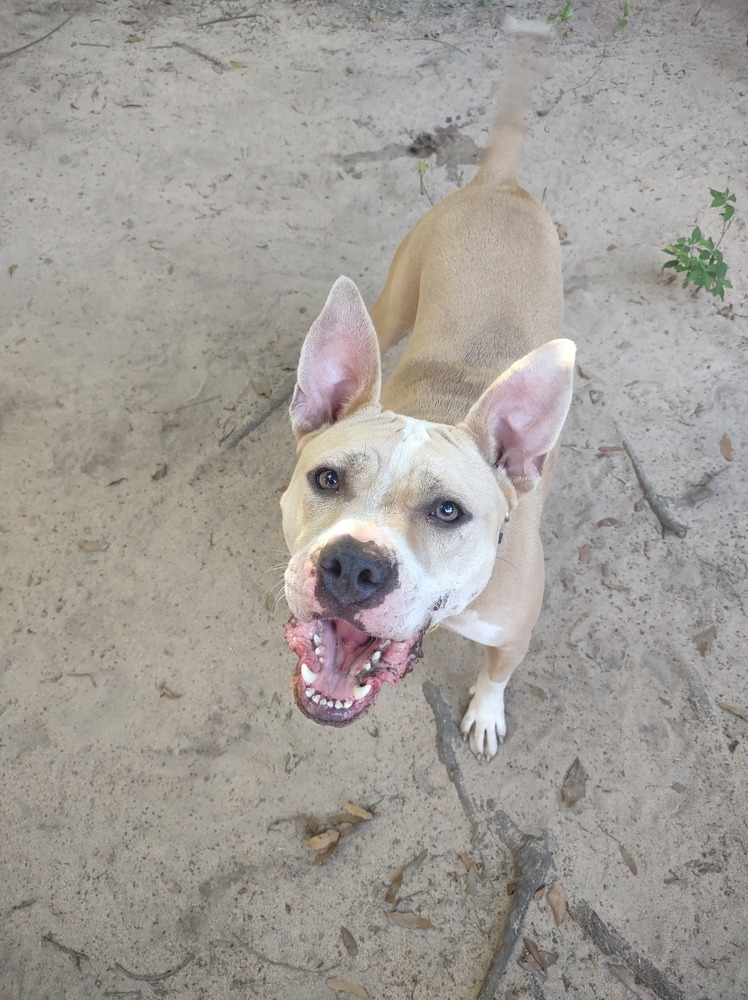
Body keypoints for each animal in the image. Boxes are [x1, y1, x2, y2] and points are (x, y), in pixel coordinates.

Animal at [280, 31, 572, 756]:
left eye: (448, 513)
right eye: (327, 479)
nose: (353, 567)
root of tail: (497, 182)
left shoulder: (513, 633)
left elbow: (496, 674)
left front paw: (487, 714)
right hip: (390, 305)